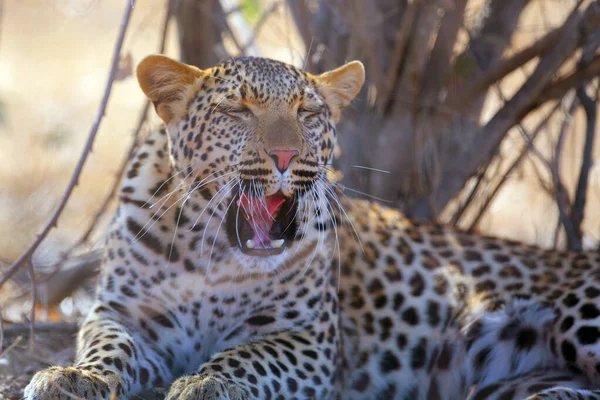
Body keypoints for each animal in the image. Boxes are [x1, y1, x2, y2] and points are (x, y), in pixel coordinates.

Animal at [25, 54, 600, 400]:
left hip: (581, 315)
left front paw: (207, 384)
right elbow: (105, 346)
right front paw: (70, 377)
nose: (286, 156)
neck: (210, 250)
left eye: (309, 113)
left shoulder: (304, 336)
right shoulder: (124, 312)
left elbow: (246, 358)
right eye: (238, 109)